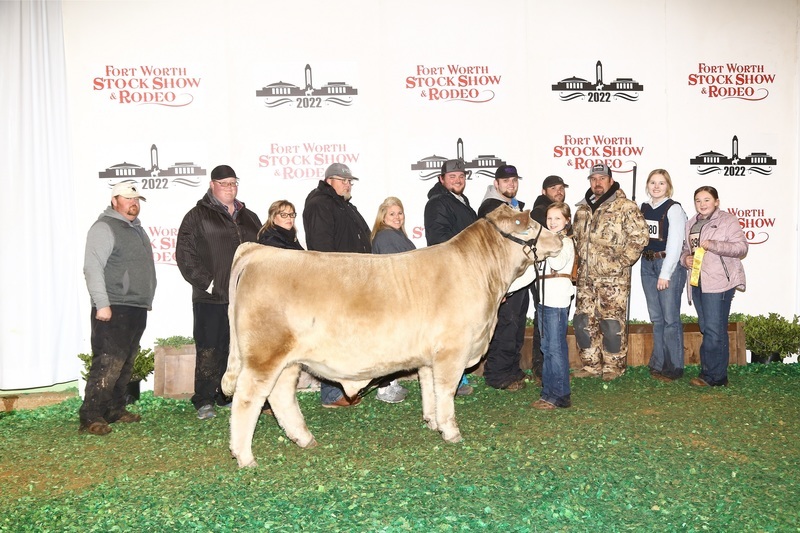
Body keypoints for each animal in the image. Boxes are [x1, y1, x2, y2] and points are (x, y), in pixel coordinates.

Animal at [221, 205, 562, 467]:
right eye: (532, 225)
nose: (559, 237)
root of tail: (258, 252)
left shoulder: (429, 357)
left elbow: (429, 388)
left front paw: (432, 422)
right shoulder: (452, 351)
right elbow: (446, 391)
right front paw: (451, 431)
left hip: (288, 360)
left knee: (280, 396)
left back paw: (304, 439)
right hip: (264, 356)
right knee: (247, 399)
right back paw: (244, 456)